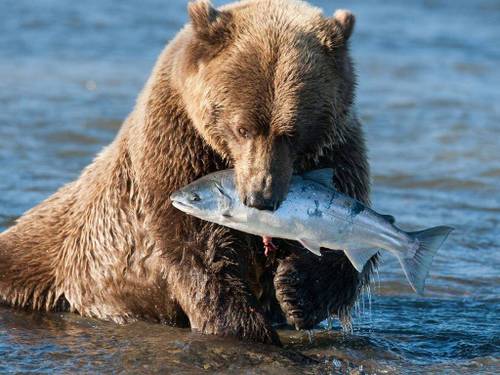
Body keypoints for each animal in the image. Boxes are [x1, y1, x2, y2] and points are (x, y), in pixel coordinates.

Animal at [0, 0, 376, 346]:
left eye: (292, 132)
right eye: (242, 128)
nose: (261, 197)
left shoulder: (338, 150)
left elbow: (347, 244)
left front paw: (296, 290)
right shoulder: (178, 145)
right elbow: (199, 249)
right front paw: (245, 328)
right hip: (52, 255)